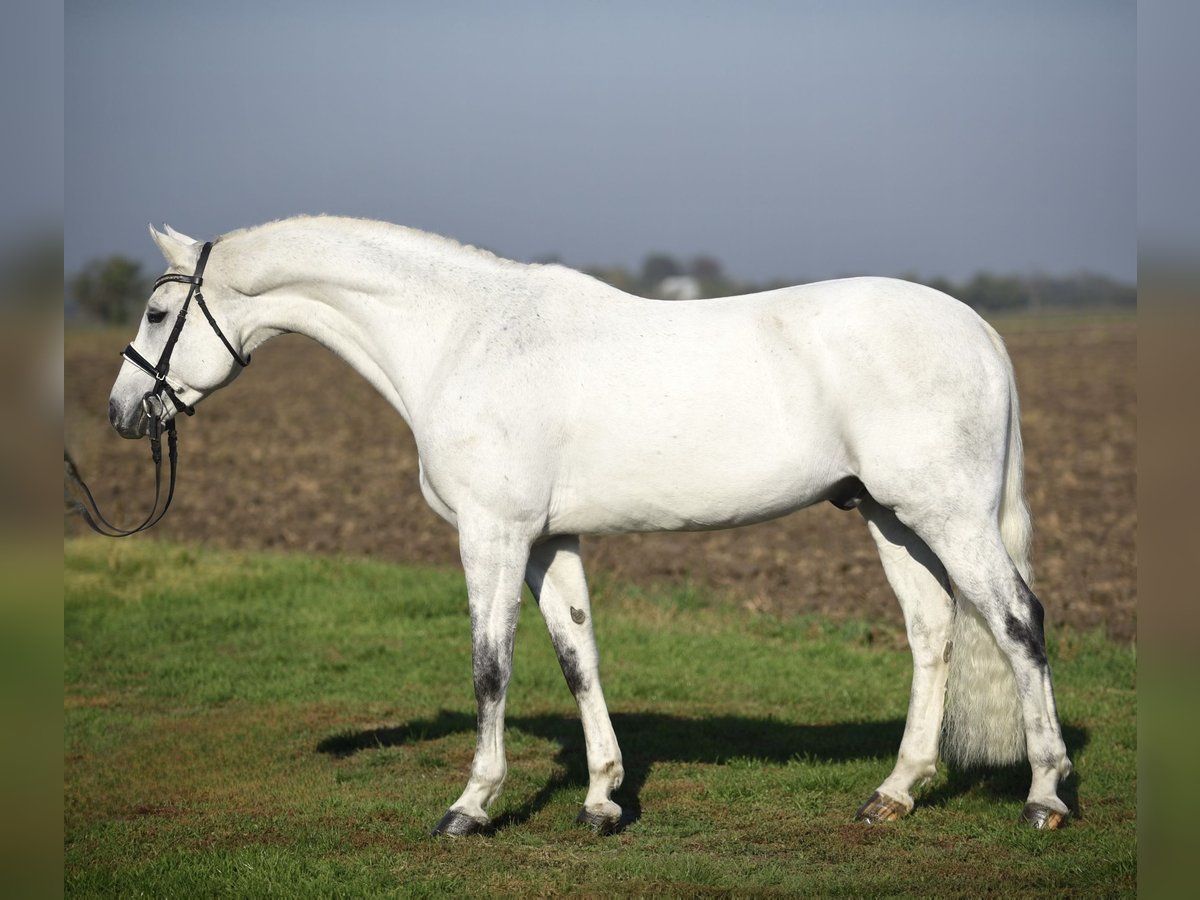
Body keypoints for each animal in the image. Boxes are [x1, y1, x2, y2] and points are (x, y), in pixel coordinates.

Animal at [108, 217, 1075, 840]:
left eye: (156, 314)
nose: (121, 413)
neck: (462, 337)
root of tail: (979, 328)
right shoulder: (548, 541)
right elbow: (579, 656)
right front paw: (604, 799)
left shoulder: (493, 535)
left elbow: (490, 667)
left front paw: (471, 805)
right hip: (888, 516)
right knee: (934, 632)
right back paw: (895, 793)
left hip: (946, 514)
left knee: (1017, 622)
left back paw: (1044, 796)